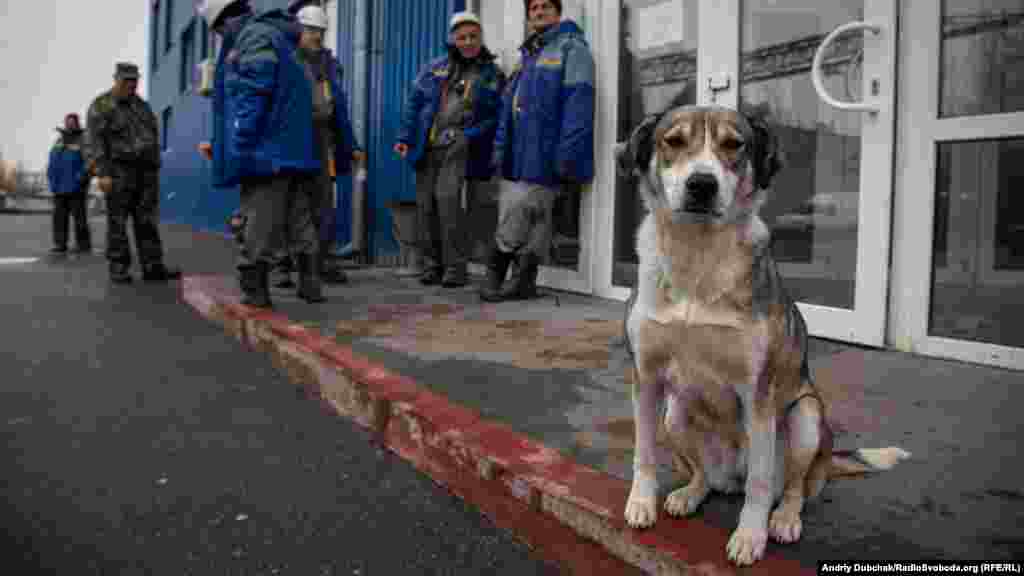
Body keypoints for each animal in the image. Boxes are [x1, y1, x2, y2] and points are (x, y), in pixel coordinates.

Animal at [610, 95, 909, 565]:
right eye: (673, 142)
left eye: (734, 145)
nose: (702, 185)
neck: (698, 256)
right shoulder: (647, 378)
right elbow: (644, 452)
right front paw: (641, 504)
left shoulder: (760, 393)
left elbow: (762, 483)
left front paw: (750, 537)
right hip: (675, 414)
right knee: (706, 477)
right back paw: (688, 494)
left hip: (806, 418)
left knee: (791, 488)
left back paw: (783, 520)